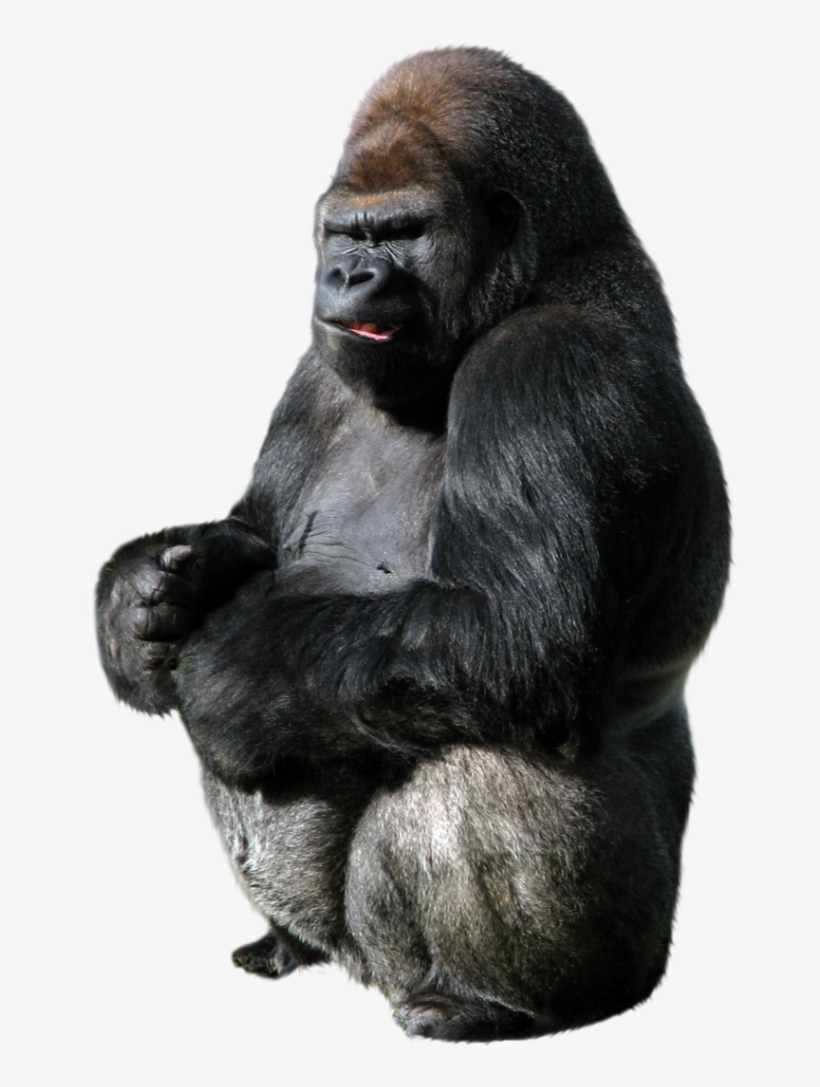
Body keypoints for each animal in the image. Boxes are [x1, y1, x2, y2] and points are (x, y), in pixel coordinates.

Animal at [96, 47, 729, 1041]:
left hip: (633, 950)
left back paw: (489, 1004)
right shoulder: (316, 369)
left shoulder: (551, 364)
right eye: (340, 232)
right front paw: (138, 600)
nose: (347, 276)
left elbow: (514, 634)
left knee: (480, 746)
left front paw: (229, 672)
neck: (550, 267)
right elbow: (252, 533)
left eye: (402, 231)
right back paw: (285, 944)